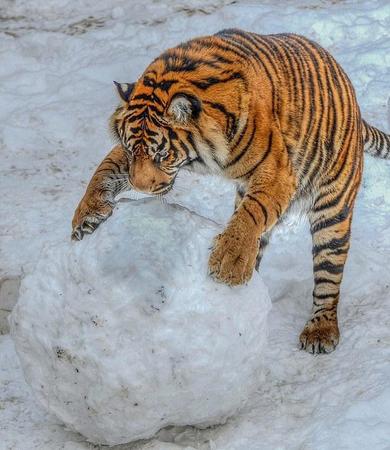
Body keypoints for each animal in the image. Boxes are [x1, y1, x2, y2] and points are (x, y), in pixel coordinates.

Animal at [71, 29, 390, 356]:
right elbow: (105, 168)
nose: (140, 188)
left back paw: (320, 331)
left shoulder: (277, 172)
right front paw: (86, 215)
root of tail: (352, 99)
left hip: (333, 209)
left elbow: (253, 212)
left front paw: (229, 262)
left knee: (328, 275)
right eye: (131, 149)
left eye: (162, 155)